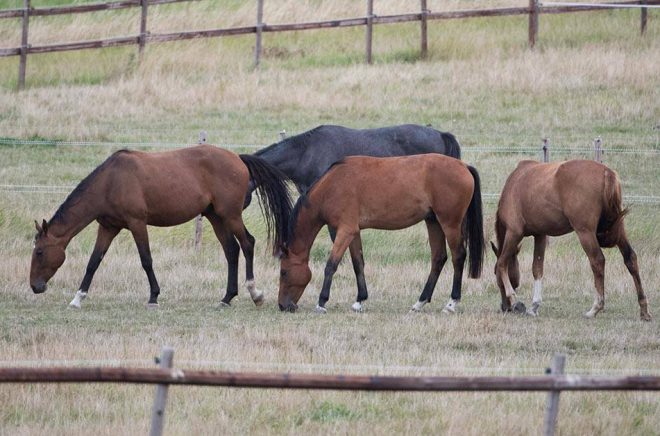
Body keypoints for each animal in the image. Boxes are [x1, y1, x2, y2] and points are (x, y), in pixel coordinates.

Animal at [28, 145, 292, 308]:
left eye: (39, 252)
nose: (35, 287)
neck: (110, 181)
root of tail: (237, 158)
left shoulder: (137, 223)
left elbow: (146, 260)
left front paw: (154, 296)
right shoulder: (108, 227)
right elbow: (94, 262)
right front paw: (77, 298)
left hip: (230, 216)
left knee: (247, 243)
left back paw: (255, 294)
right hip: (215, 217)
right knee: (231, 250)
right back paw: (227, 297)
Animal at [278, 153, 484, 314]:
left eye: (284, 272)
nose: (283, 306)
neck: (332, 185)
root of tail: (463, 166)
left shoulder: (344, 231)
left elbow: (331, 265)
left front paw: (321, 302)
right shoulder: (353, 232)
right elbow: (358, 264)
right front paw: (359, 300)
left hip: (450, 224)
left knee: (458, 256)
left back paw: (451, 303)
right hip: (433, 222)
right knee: (438, 258)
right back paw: (420, 302)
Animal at [492, 159, 652, 320]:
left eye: (495, 276)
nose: (505, 307)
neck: (515, 183)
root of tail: (606, 172)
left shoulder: (514, 232)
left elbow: (502, 263)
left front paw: (514, 300)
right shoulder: (540, 235)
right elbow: (537, 269)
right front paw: (534, 306)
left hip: (585, 233)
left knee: (597, 261)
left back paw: (595, 308)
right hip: (619, 231)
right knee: (630, 259)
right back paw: (643, 309)